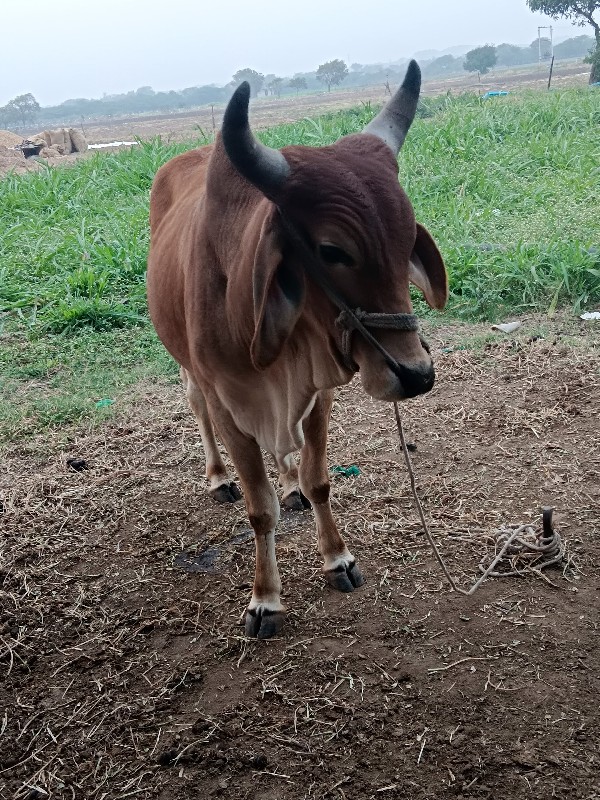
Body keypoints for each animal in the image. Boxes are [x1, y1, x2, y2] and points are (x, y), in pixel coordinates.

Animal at [146, 61, 446, 636]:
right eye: (332, 250)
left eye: (405, 241)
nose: (415, 374)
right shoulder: (228, 402)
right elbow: (260, 509)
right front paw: (265, 598)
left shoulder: (317, 390)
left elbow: (318, 478)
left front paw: (337, 558)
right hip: (190, 372)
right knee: (196, 410)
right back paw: (218, 478)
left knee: (286, 456)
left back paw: (287, 482)